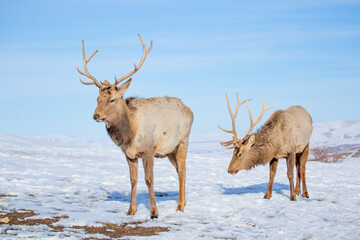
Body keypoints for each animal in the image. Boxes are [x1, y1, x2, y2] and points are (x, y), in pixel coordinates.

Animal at [76, 34, 194, 219]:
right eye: (97, 99)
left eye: (112, 99)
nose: (96, 115)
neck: (130, 134)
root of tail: (190, 110)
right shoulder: (129, 154)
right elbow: (133, 180)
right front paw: (131, 210)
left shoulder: (149, 150)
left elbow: (149, 179)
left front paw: (154, 212)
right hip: (169, 150)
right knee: (180, 170)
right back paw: (184, 202)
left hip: (183, 141)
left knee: (182, 170)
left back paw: (180, 206)